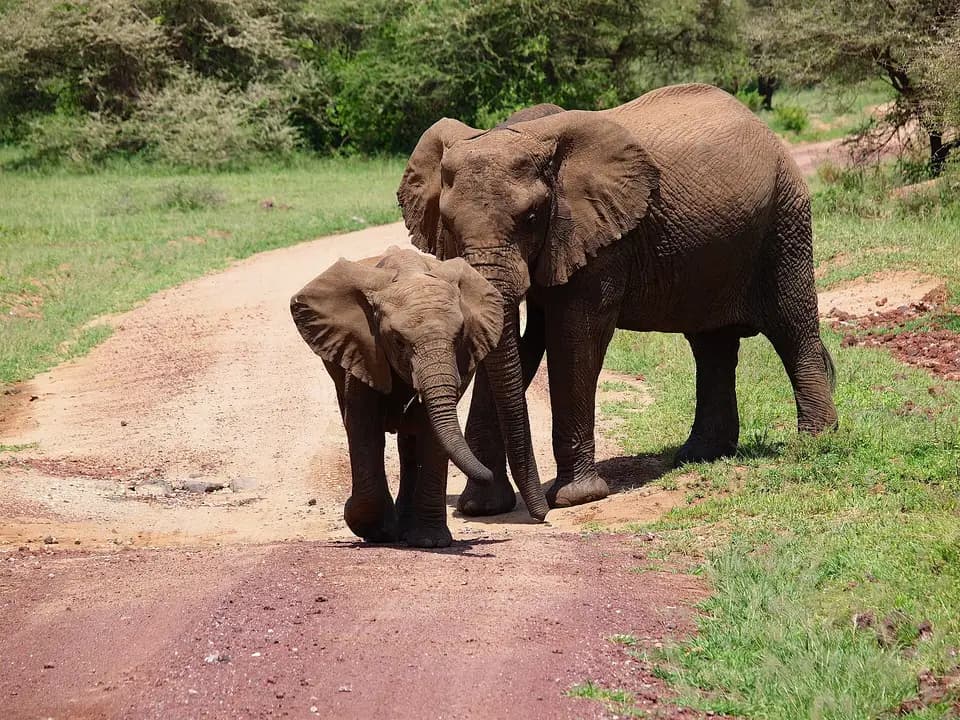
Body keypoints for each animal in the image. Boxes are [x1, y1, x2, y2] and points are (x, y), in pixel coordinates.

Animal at [289, 246, 504, 547]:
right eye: (399, 342)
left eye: (459, 336)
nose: (489, 474)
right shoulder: (364, 347)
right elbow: (363, 428)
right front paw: (371, 528)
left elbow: (432, 434)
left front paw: (430, 542)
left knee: (410, 443)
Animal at [397, 83, 838, 518]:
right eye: (448, 223)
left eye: (531, 218)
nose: (540, 514)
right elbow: (520, 345)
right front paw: (481, 507)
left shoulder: (598, 238)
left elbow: (573, 339)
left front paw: (574, 498)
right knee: (711, 346)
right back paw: (699, 456)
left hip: (784, 220)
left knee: (791, 328)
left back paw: (814, 443)